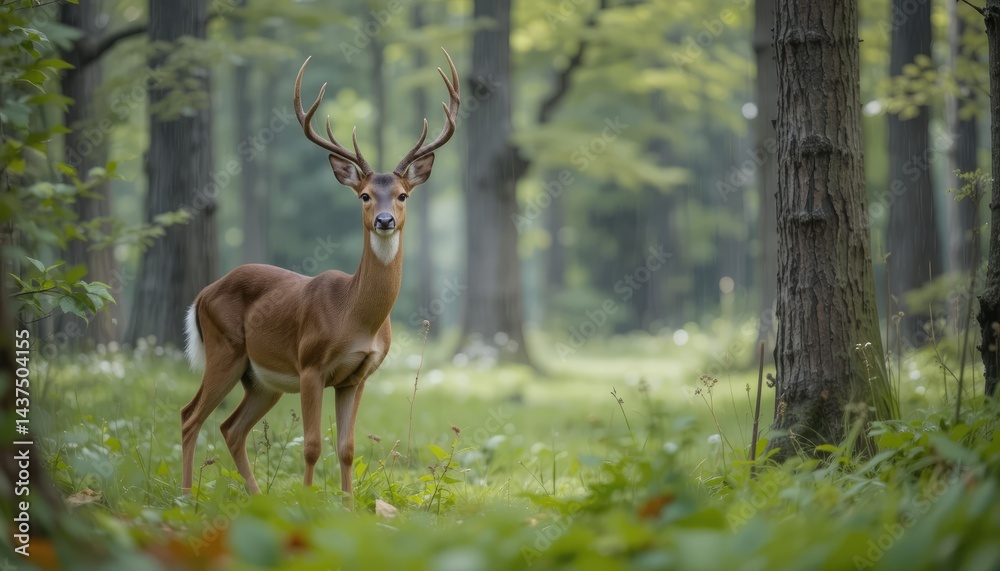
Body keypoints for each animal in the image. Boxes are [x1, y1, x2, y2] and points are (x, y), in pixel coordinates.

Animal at [180, 48, 460, 500]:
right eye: (364, 195)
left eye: (402, 195)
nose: (384, 220)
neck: (355, 317)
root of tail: (203, 293)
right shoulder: (310, 364)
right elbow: (311, 445)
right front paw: (309, 504)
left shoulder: (356, 376)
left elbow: (347, 448)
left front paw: (346, 507)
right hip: (225, 350)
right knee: (191, 416)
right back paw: (186, 497)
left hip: (260, 379)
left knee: (229, 427)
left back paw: (256, 498)